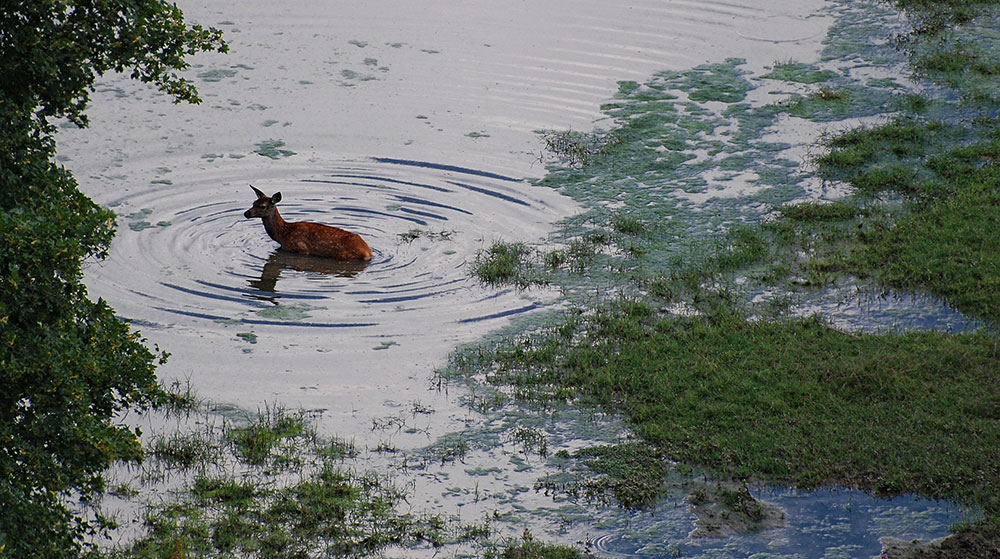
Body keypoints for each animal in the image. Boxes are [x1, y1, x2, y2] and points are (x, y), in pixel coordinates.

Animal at [241, 186, 372, 260]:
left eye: (262, 206)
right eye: (253, 202)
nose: (246, 213)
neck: (283, 234)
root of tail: (368, 252)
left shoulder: (301, 248)